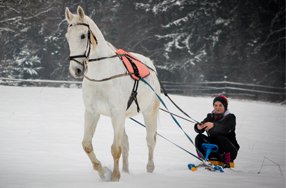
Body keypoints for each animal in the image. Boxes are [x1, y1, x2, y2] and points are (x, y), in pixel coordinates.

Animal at [64, 6, 161, 181]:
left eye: (82, 35)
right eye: (67, 37)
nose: (76, 70)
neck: (102, 75)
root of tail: (150, 64)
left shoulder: (116, 113)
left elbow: (115, 149)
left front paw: (115, 177)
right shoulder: (92, 112)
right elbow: (87, 145)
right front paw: (103, 172)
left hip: (149, 113)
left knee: (150, 141)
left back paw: (149, 170)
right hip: (123, 117)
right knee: (126, 143)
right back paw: (126, 171)